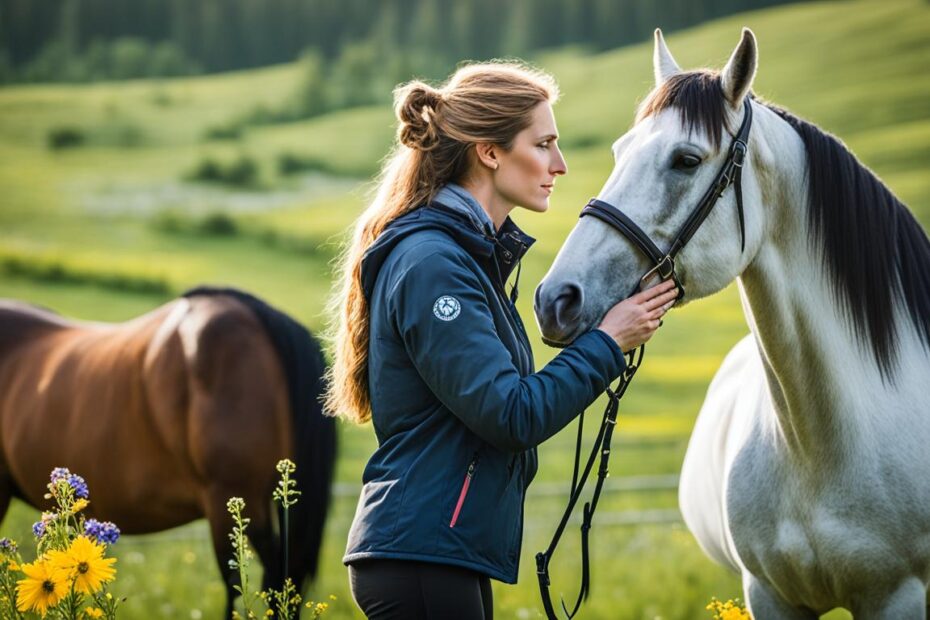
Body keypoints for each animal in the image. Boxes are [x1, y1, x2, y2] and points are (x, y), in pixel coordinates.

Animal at [532, 27, 928, 616]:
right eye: (620, 151)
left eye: (686, 159)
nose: (555, 298)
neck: (825, 442)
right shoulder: (768, 594)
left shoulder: (897, 597)